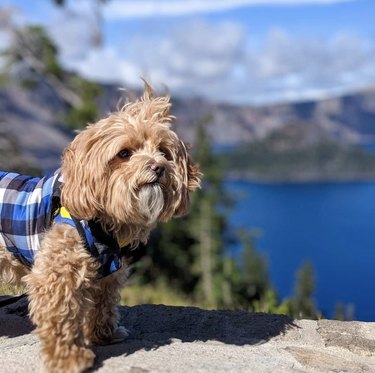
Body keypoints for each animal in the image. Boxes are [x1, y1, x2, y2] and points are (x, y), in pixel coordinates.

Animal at [0, 84, 203, 372]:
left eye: (164, 151)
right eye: (125, 153)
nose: (158, 167)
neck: (103, 223)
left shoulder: (109, 269)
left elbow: (103, 302)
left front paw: (104, 334)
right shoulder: (57, 274)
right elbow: (62, 317)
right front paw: (69, 358)